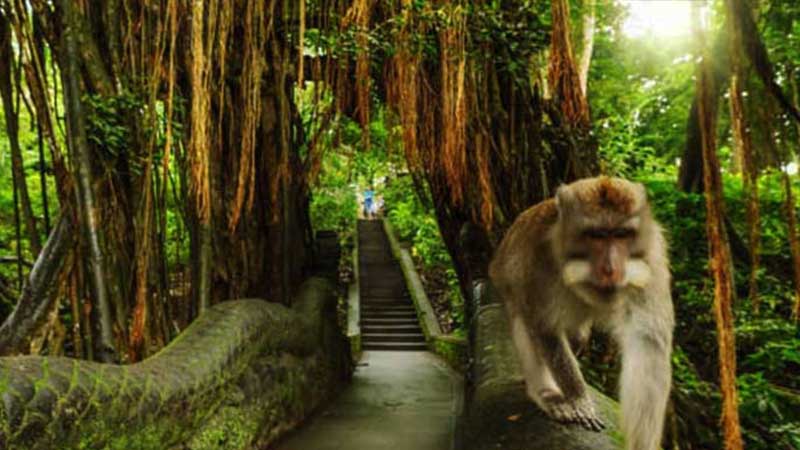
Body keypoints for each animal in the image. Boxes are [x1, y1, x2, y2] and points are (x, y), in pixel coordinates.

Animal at [489, 176, 673, 450]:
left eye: (622, 234)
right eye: (595, 235)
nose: (610, 269)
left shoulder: (652, 258)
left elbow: (648, 343)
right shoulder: (537, 260)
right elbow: (544, 327)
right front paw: (578, 398)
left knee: (577, 337)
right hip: (506, 286)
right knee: (525, 323)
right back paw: (545, 393)